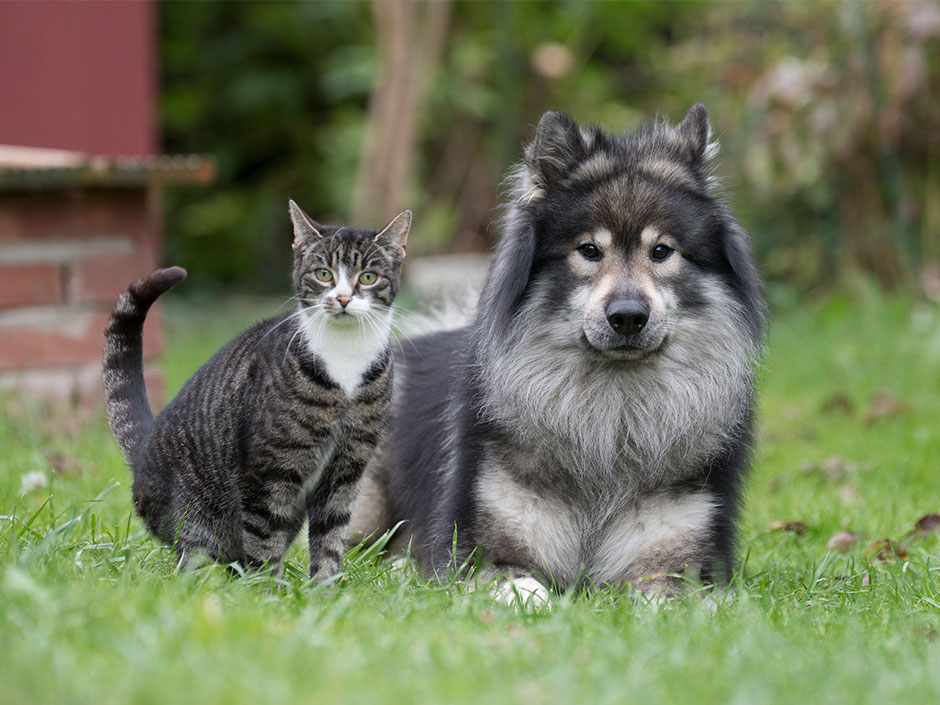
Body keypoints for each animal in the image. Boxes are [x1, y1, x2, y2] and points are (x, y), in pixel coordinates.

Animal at [103, 198, 412, 576]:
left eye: (368, 277)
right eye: (323, 273)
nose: (342, 298)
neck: (344, 360)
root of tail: (143, 452)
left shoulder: (347, 469)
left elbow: (332, 536)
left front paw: (325, 587)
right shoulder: (268, 470)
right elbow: (265, 538)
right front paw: (267, 587)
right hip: (196, 523)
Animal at [348, 104, 768, 600]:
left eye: (662, 251)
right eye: (589, 250)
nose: (628, 316)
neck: (612, 419)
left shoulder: (675, 566)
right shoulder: (488, 554)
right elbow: (525, 587)